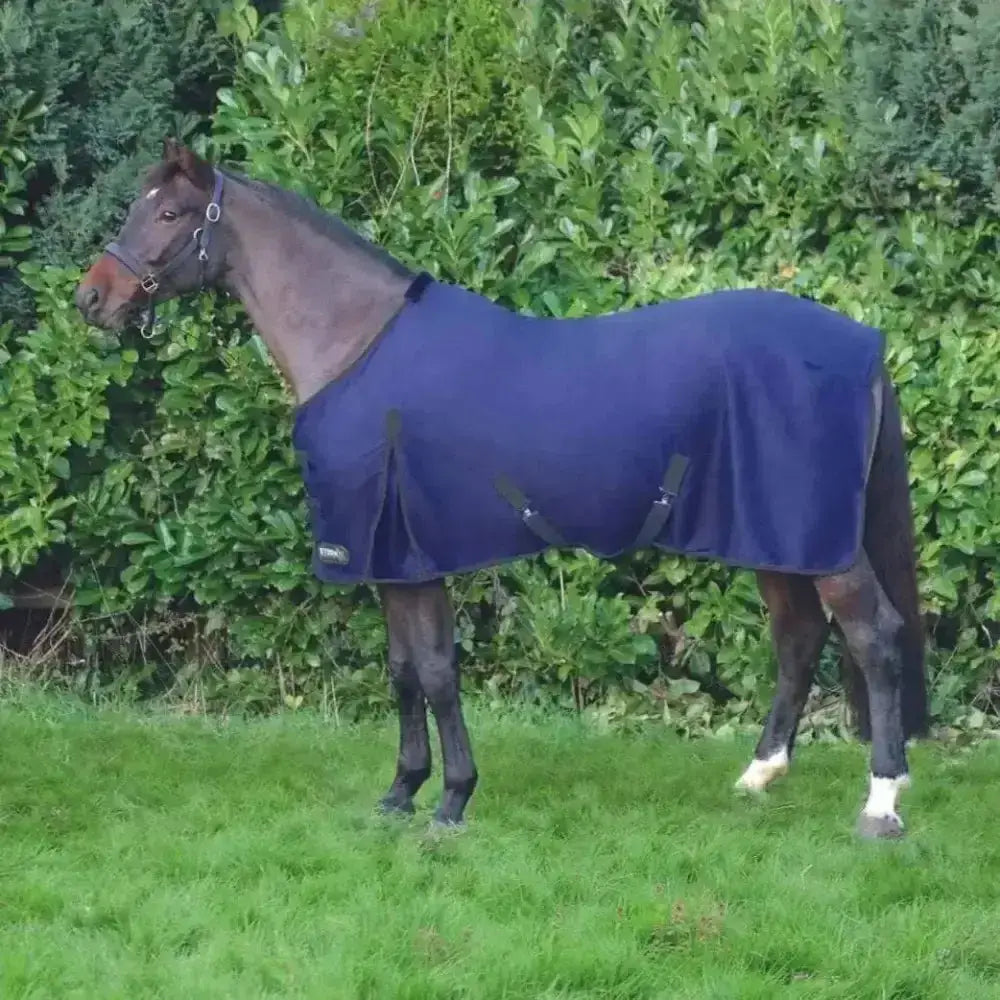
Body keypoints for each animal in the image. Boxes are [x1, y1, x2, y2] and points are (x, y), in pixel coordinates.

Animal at [75, 139, 928, 839]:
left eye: (172, 212)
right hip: (773, 536)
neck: (356, 342)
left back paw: (882, 802)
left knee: (873, 636)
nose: (92, 297)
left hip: (820, 541)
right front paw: (401, 793)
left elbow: (436, 671)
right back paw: (759, 774)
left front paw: (451, 801)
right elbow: (402, 670)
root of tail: (863, 341)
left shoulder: (412, 553)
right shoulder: (390, 562)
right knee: (799, 637)